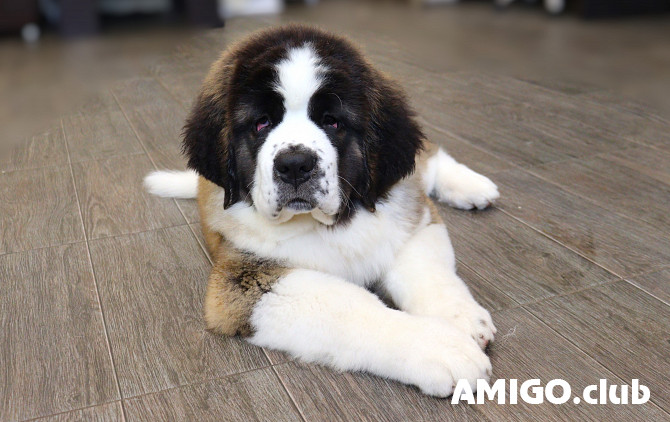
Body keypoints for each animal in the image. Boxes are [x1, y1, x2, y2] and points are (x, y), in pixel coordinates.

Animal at [146, 24, 498, 398]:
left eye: (332, 122)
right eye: (261, 123)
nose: (295, 165)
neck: (328, 224)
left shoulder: (413, 219)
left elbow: (427, 274)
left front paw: (461, 317)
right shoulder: (244, 283)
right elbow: (351, 306)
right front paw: (442, 347)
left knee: (429, 158)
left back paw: (473, 186)